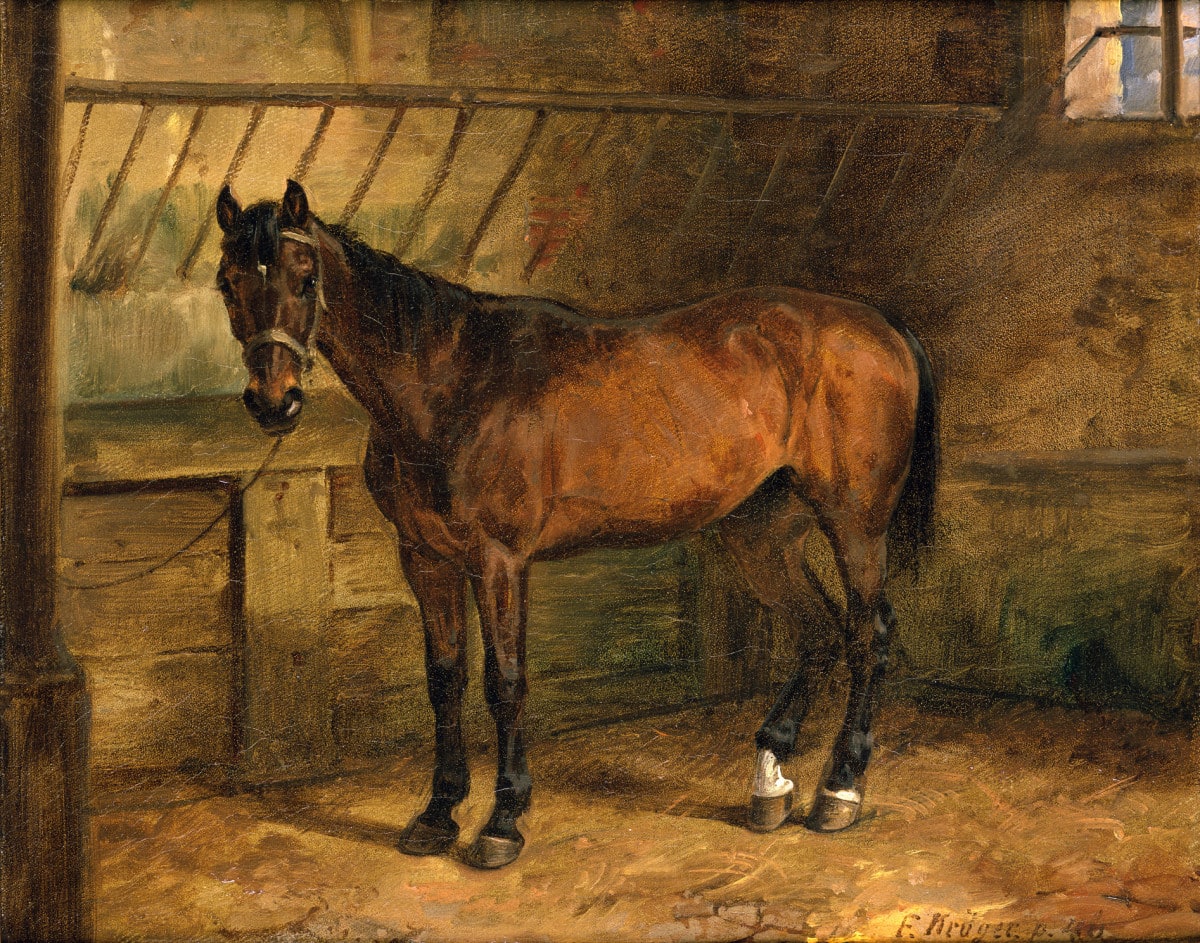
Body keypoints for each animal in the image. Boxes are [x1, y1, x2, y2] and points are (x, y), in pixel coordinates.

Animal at [214, 180, 938, 870]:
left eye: (306, 277)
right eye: (228, 281)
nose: (274, 402)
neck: (452, 383)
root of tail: (881, 326)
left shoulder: (499, 561)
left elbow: (504, 682)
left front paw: (502, 822)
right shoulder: (424, 556)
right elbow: (444, 678)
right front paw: (438, 813)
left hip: (854, 522)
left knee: (868, 633)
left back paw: (840, 789)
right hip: (758, 532)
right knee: (817, 631)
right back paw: (771, 780)